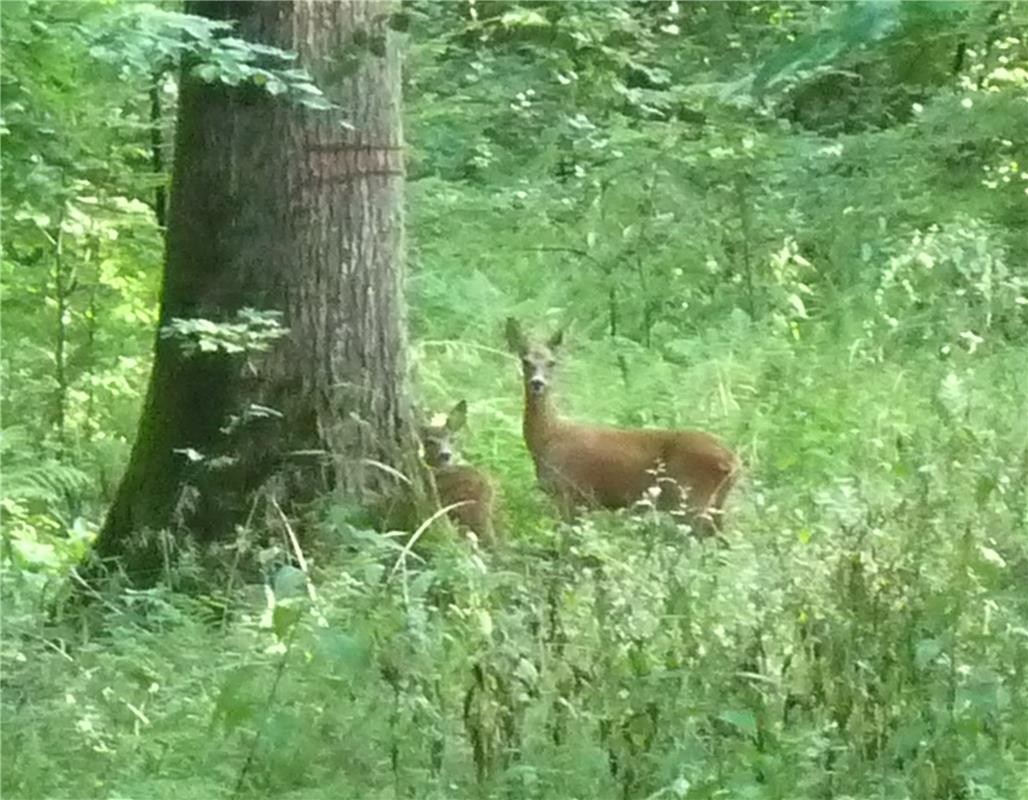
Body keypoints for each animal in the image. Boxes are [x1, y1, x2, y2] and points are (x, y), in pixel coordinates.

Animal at [499, 316, 736, 530]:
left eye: (551, 362)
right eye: (525, 361)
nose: (537, 383)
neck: (547, 438)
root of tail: (733, 462)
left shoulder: (568, 493)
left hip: (690, 498)